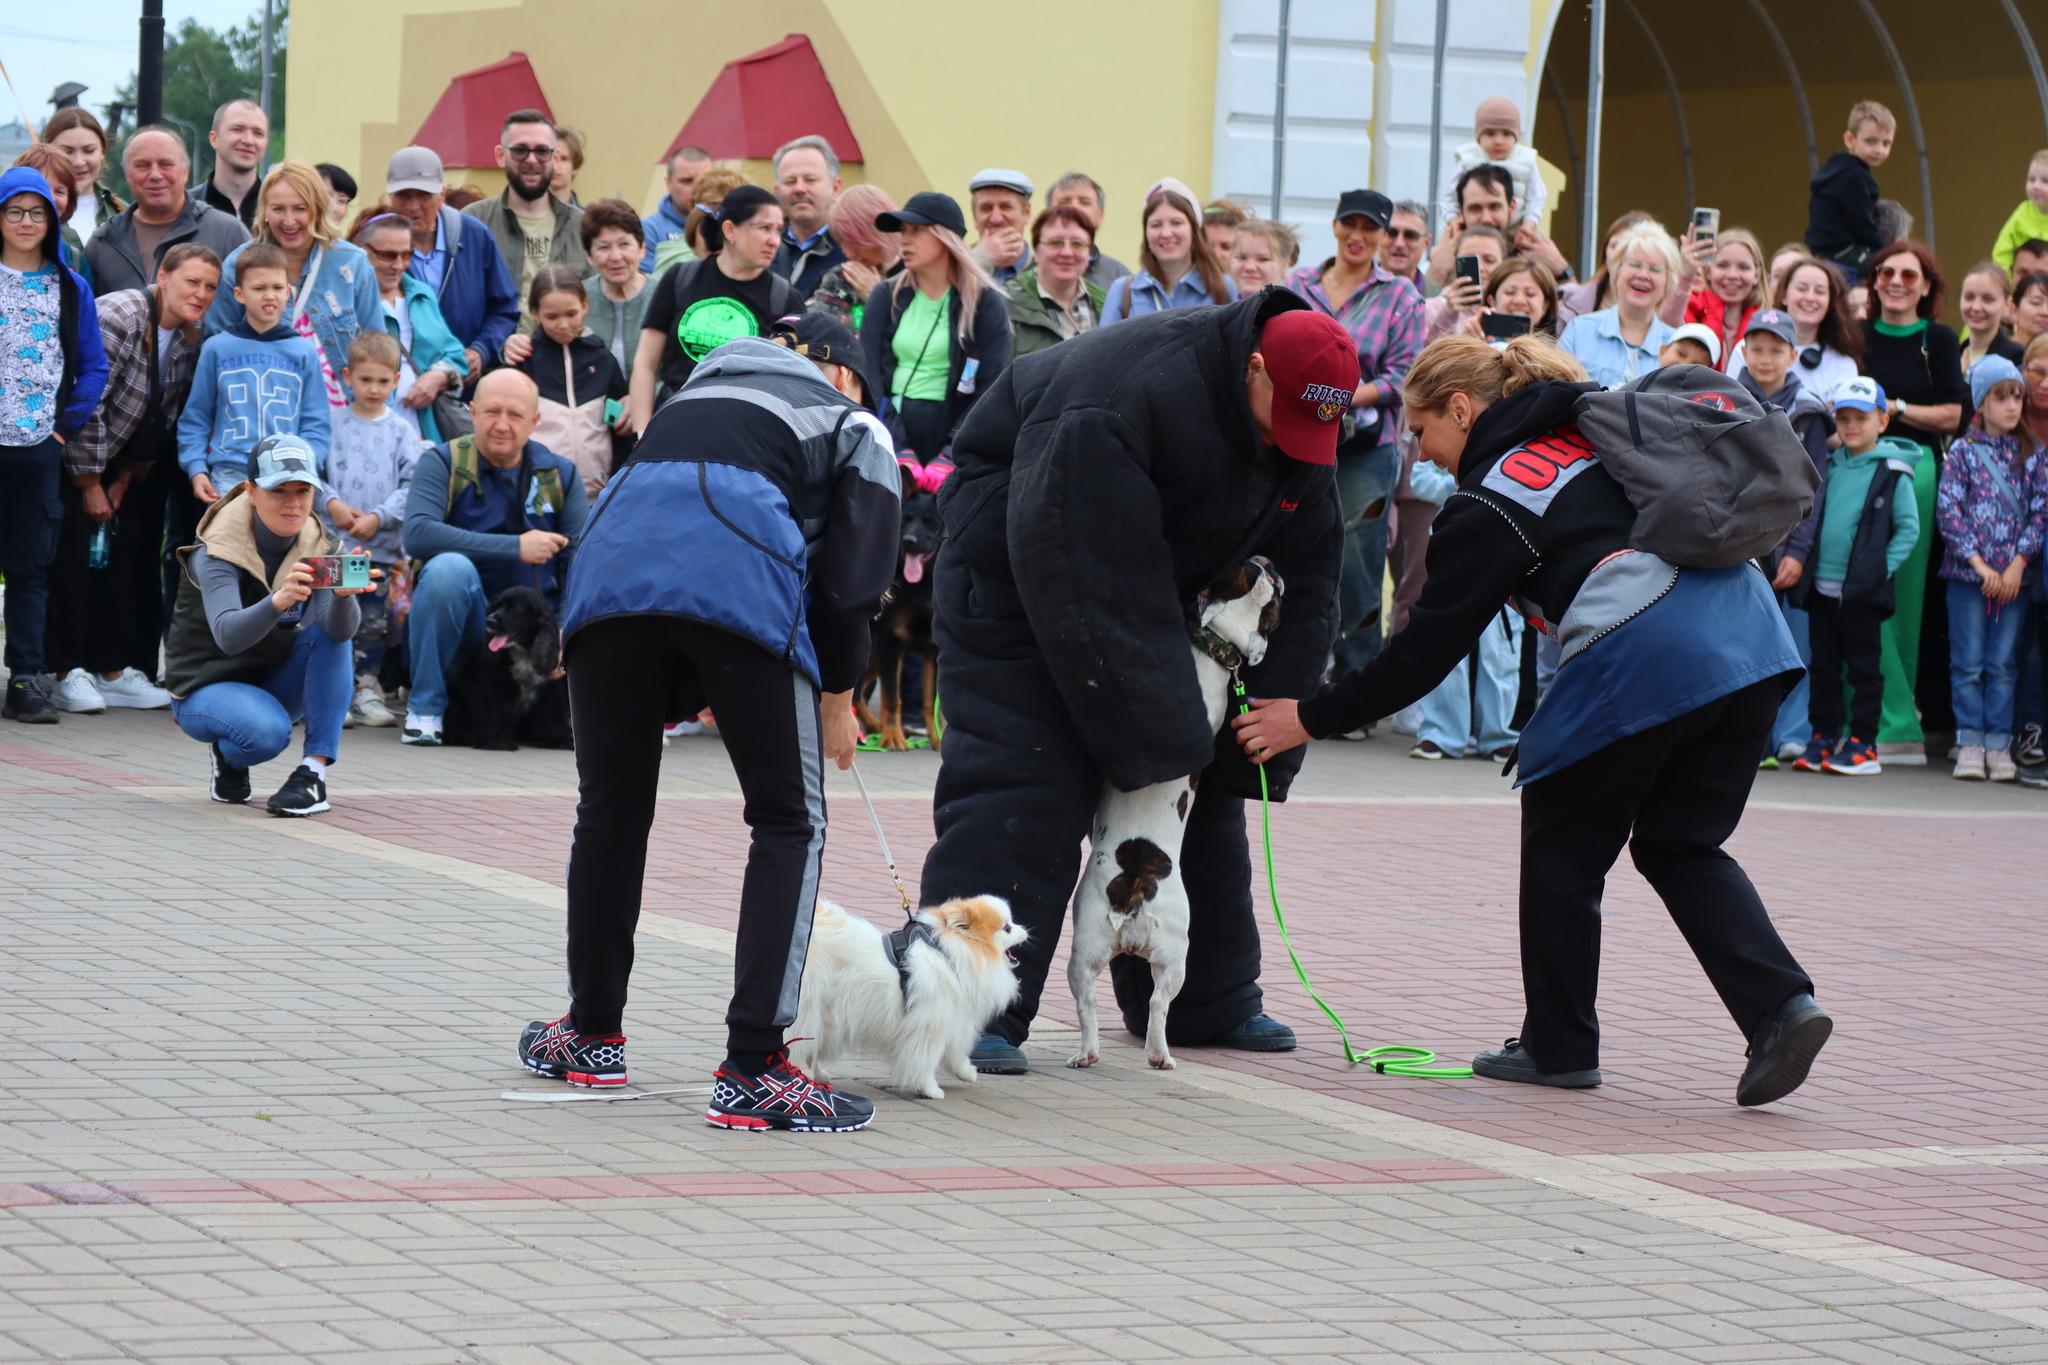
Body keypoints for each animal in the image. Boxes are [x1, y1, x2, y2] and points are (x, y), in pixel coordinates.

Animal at [790, 896, 1032, 1096]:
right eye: (1007, 928)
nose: (1026, 929)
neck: (948, 956)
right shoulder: (929, 1025)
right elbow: (926, 1059)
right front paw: (929, 1089)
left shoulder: (953, 1016)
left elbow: (955, 1050)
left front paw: (966, 1072)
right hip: (809, 1005)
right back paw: (801, 1072)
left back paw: (816, 1074)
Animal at [856, 464, 942, 753]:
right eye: (907, 519)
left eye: (931, 522)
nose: (908, 541)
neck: (921, 585)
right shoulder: (892, 645)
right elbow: (892, 698)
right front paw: (893, 737)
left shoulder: (932, 652)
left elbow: (929, 701)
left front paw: (937, 739)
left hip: (873, 658)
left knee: (857, 693)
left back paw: (871, 727)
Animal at [1073, 560, 1277, 1072]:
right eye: (1255, 572)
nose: (1267, 561)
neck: (1216, 640)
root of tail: (1136, 885)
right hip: (1163, 956)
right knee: (1156, 1004)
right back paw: (1156, 1055)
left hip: (1094, 952)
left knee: (1101, 1001)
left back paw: (1099, 1054)